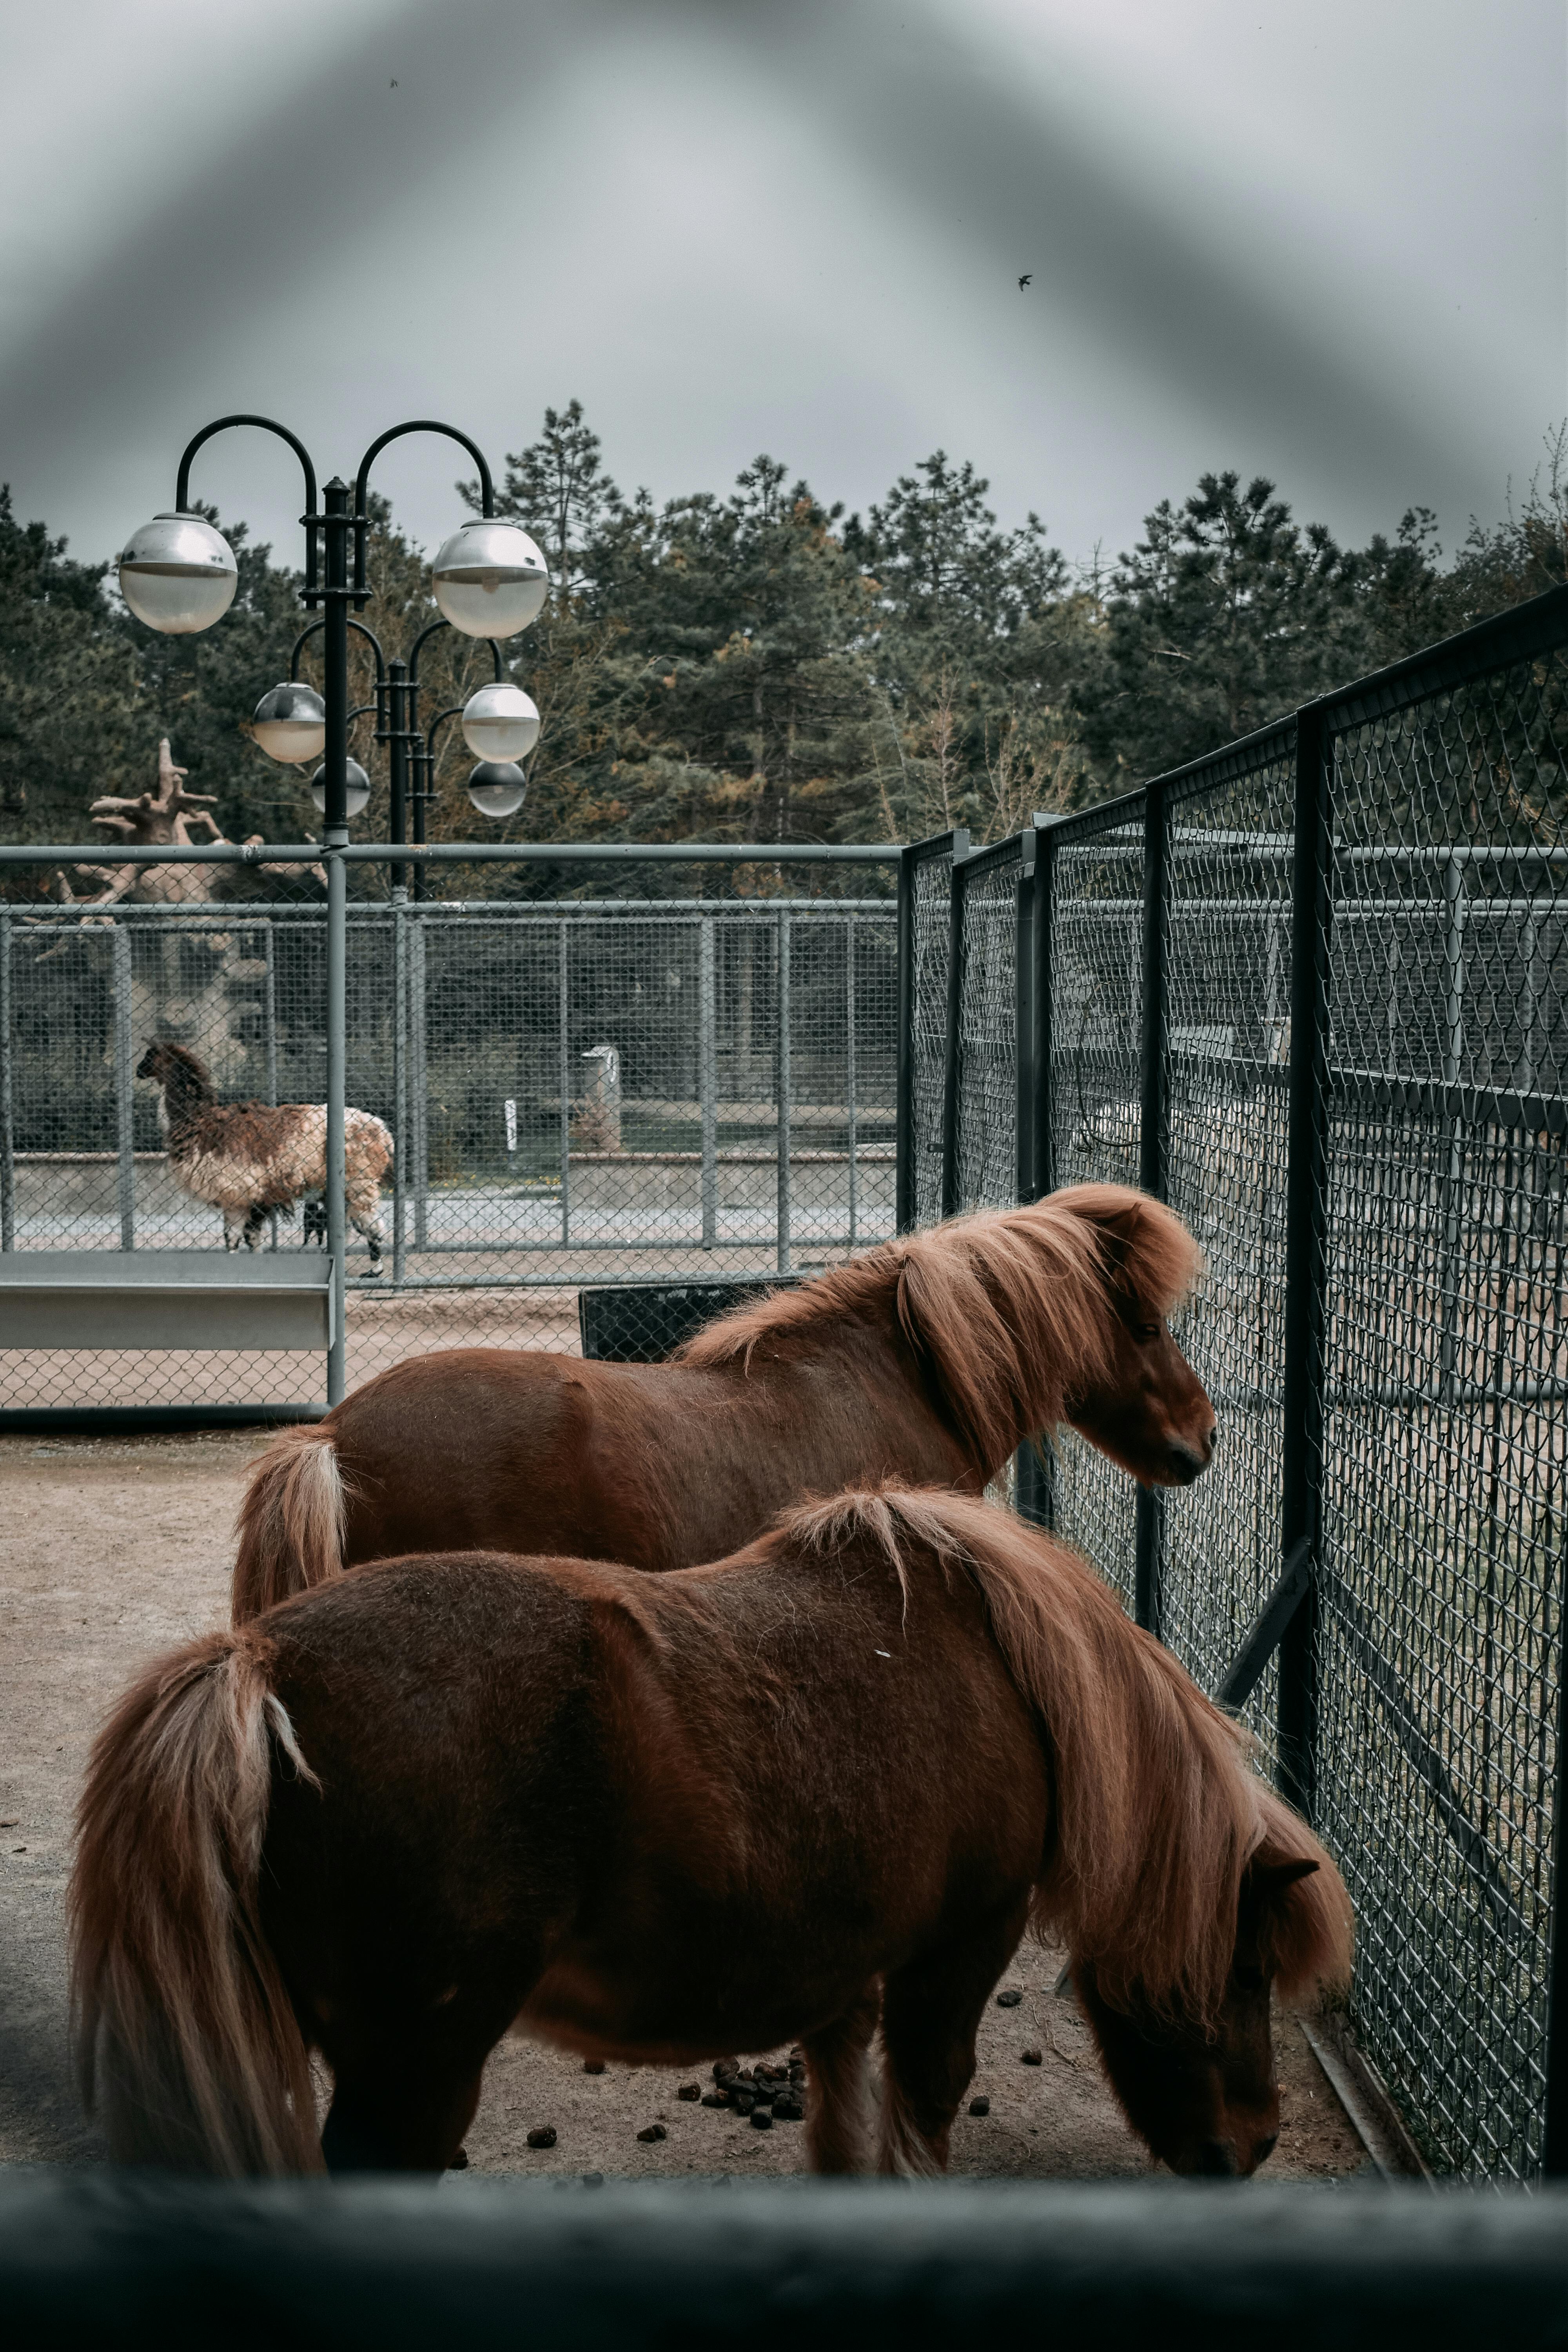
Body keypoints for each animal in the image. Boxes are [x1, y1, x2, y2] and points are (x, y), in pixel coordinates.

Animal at [73, 1486, 1354, 2183]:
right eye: (1243, 1970)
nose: (1248, 2146)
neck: (1000, 1665)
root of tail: (259, 1662)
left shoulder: (843, 1978)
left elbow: (844, 2122)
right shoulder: (957, 1950)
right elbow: (922, 2108)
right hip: (414, 2072)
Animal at [136, 1044, 392, 1270]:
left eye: (149, 1055)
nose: (138, 1070)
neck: (197, 1122)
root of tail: (381, 1130)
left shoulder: (240, 1191)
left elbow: (239, 1237)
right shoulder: (247, 1196)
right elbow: (244, 1237)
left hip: (359, 1180)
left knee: (372, 1225)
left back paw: (375, 1270)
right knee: (351, 1226)